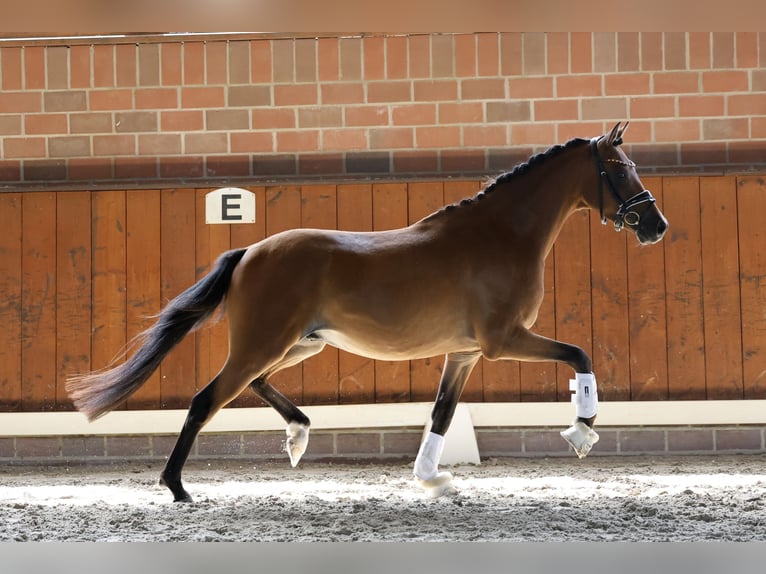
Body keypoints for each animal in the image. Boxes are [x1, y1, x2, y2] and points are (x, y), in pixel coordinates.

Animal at [67, 122, 668, 502]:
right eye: (620, 168)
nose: (656, 226)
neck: (502, 235)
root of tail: (252, 251)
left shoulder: (465, 353)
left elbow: (442, 415)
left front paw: (431, 480)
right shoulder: (504, 341)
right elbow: (580, 354)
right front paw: (582, 432)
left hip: (297, 344)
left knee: (255, 384)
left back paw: (298, 436)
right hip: (265, 343)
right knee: (204, 401)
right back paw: (177, 487)